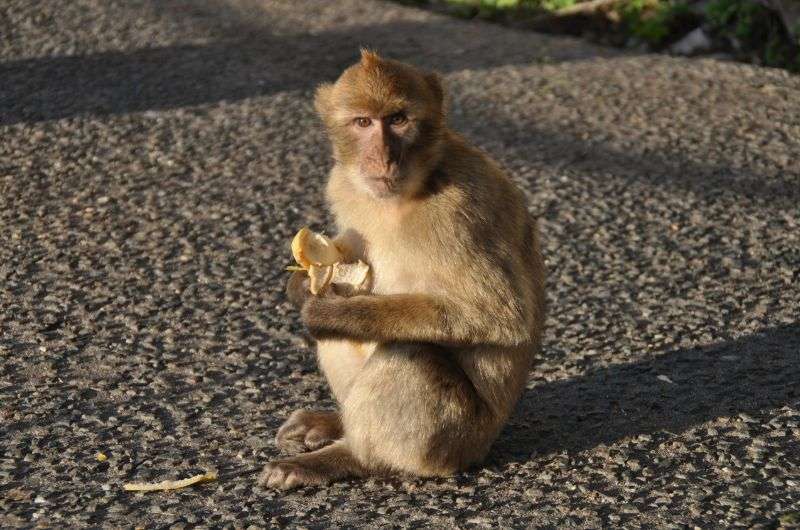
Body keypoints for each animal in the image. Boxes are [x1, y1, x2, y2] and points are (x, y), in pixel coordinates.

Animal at [260, 49, 548, 486]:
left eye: (398, 119)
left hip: (458, 439)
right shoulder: (342, 184)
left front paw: (328, 311)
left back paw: (351, 457)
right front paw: (303, 287)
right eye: (363, 122)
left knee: (409, 350)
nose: (382, 156)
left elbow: (499, 315)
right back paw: (336, 425)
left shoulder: (460, 211)